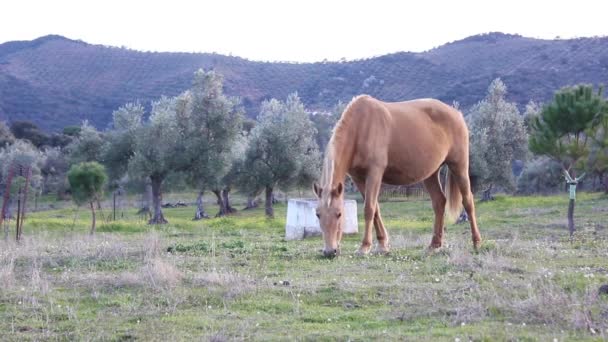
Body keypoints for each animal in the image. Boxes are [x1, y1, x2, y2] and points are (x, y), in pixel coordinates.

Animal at [314, 93, 480, 256]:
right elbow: (376, 209)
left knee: (468, 201)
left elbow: (369, 209)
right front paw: (382, 245)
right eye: (318, 214)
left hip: (459, 166)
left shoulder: (375, 172)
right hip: (430, 174)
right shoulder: (358, 178)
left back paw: (477, 242)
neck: (360, 126)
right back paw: (434, 245)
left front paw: (365, 246)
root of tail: (456, 113)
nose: (330, 251)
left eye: (339, 214)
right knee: (439, 202)